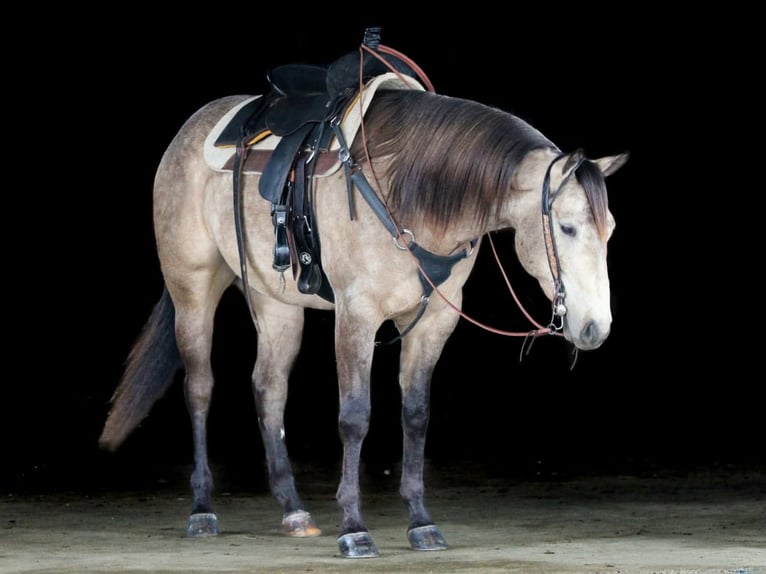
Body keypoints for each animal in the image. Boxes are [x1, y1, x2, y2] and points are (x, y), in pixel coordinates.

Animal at [98, 34, 628, 558]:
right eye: (567, 227)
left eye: (610, 230)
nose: (595, 328)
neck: (408, 190)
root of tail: (190, 129)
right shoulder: (356, 315)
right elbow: (354, 416)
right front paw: (354, 527)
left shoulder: (434, 321)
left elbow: (415, 415)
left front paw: (420, 521)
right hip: (192, 290)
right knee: (200, 388)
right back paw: (202, 509)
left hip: (277, 304)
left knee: (269, 388)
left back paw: (294, 510)